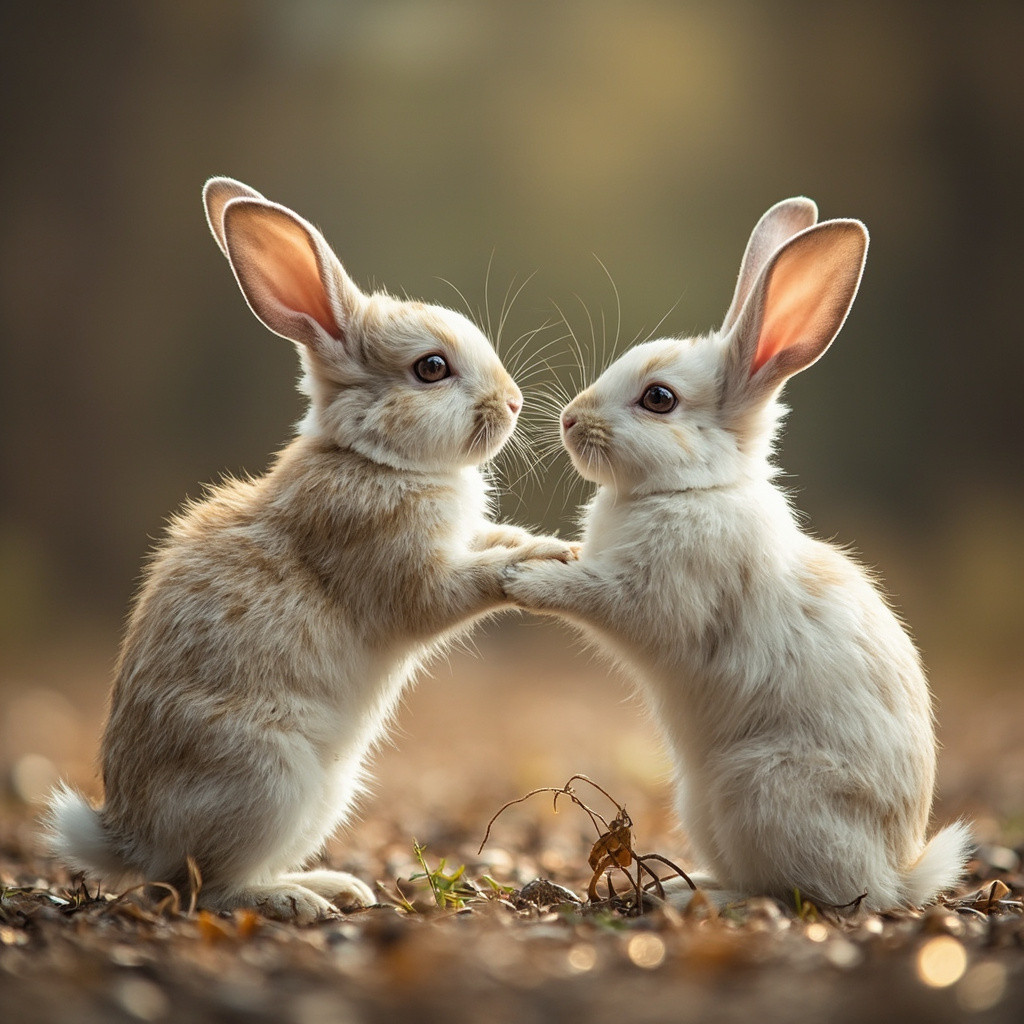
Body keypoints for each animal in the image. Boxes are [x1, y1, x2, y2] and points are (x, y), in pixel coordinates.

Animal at [47, 177, 578, 923]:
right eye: (432, 368)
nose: (511, 402)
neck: (374, 457)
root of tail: (126, 836)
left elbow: (491, 539)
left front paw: (552, 545)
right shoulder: (404, 575)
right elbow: (462, 584)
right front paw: (532, 566)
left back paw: (335, 887)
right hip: (272, 779)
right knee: (200, 886)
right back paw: (298, 901)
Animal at [503, 197, 972, 913]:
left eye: (659, 398)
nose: (570, 421)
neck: (697, 488)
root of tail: (896, 875)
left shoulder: (652, 597)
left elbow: (589, 594)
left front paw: (522, 578)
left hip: (758, 789)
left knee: (802, 893)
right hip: (703, 803)